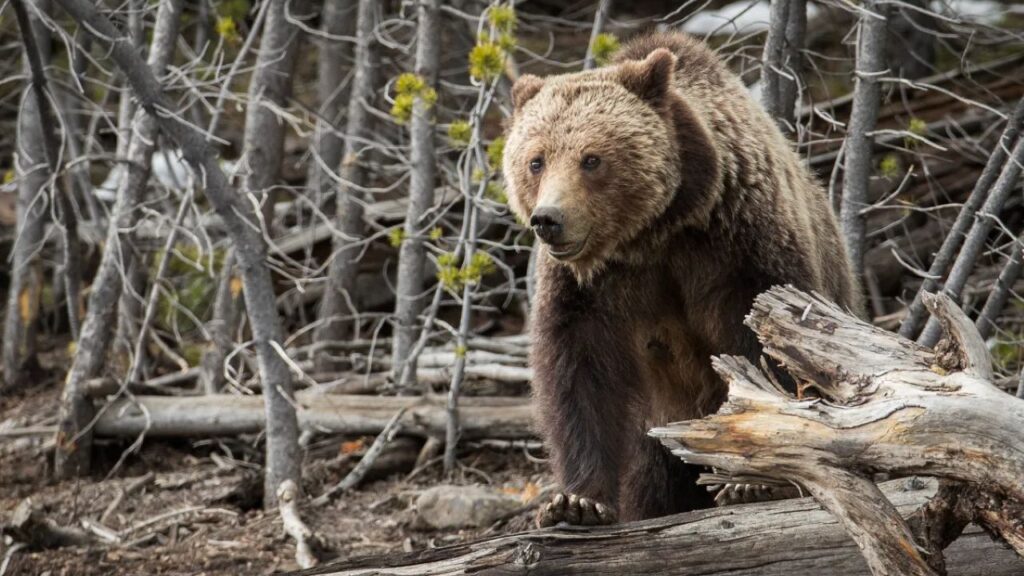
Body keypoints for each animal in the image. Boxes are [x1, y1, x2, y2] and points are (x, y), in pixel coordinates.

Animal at [502, 31, 863, 526]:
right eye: (536, 160)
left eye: (591, 159)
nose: (548, 220)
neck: (655, 232)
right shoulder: (589, 287)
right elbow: (580, 373)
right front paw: (576, 502)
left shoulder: (738, 246)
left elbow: (769, 348)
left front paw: (753, 482)